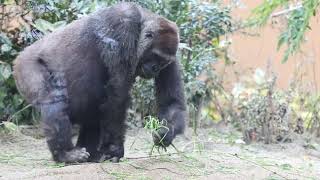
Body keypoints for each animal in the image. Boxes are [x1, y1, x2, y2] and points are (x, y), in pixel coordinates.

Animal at [13, 2, 188, 163]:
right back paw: (65, 154)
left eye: (163, 62)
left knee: (93, 111)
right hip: (26, 66)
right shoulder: (123, 28)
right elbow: (117, 97)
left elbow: (172, 102)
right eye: (156, 56)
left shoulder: (173, 55)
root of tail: (19, 57)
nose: (155, 69)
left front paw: (165, 132)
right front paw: (114, 149)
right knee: (54, 101)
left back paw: (91, 154)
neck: (142, 23)